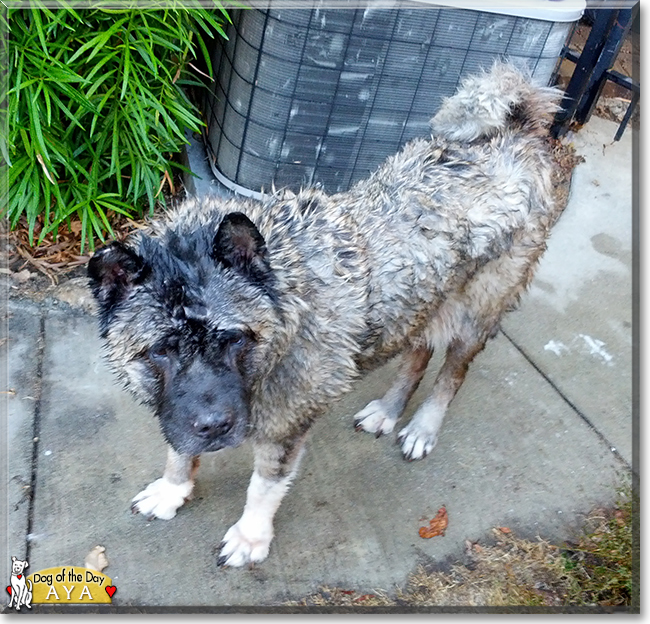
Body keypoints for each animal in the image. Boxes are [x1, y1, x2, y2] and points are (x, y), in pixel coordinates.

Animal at [87, 63, 560, 564]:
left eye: (234, 338)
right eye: (161, 350)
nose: (215, 426)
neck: (284, 294)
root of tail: (517, 130)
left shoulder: (286, 425)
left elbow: (264, 486)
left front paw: (251, 537)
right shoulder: (179, 410)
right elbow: (179, 447)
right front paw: (172, 490)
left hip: (477, 309)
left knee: (453, 370)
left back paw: (423, 426)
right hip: (423, 299)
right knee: (417, 353)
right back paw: (389, 410)